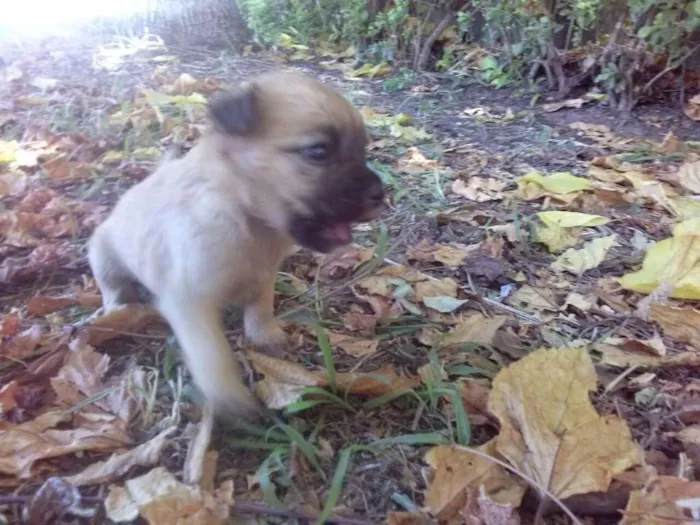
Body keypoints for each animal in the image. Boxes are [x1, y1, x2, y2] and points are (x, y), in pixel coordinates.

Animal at [87, 71, 388, 418]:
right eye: (318, 152)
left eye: (362, 148)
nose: (381, 195)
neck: (244, 215)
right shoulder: (189, 302)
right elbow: (212, 355)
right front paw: (233, 401)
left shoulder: (264, 276)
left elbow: (260, 306)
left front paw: (264, 335)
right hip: (103, 255)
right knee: (112, 286)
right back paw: (117, 310)